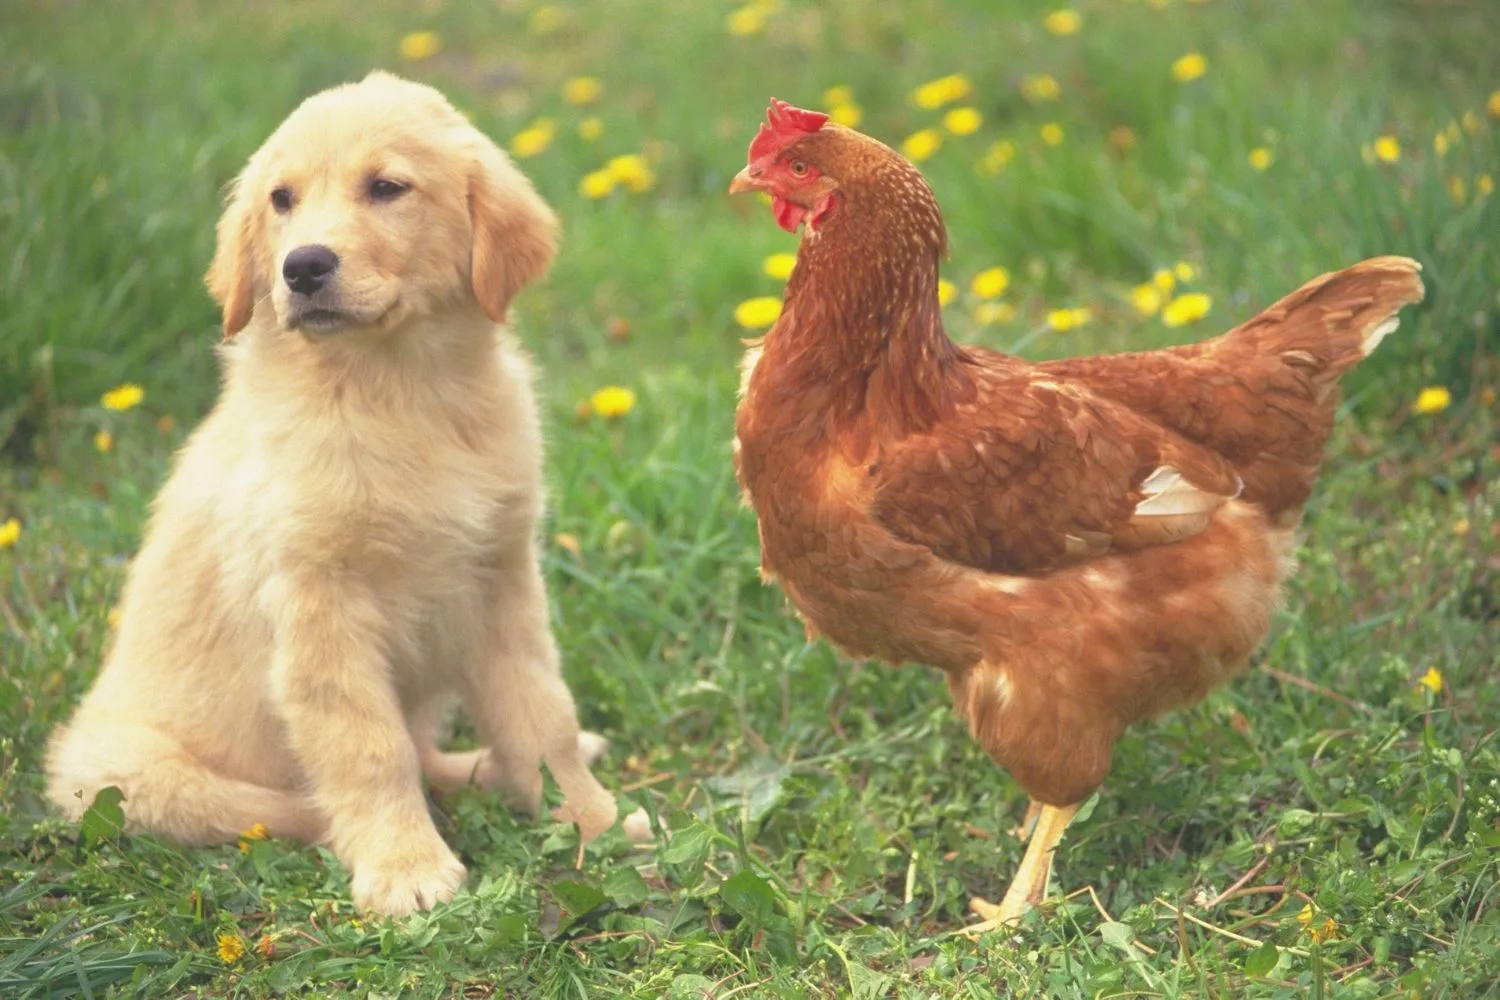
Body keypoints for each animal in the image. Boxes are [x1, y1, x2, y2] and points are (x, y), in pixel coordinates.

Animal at [45, 68, 621, 917]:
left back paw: (486, 770)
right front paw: (407, 868)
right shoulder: (320, 609)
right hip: (124, 775)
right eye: (281, 200)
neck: (398, 390)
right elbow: (369, 749)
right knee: (286, 806)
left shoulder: (499, 575)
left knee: (430, 750)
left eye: (386, 187)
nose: (303, 267)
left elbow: (540, 712)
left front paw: (590, 817)